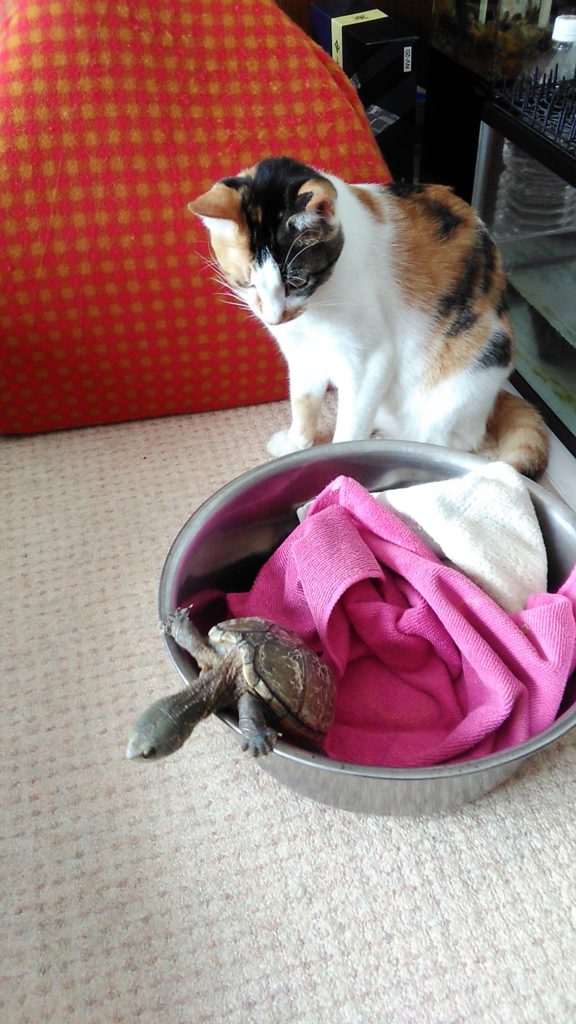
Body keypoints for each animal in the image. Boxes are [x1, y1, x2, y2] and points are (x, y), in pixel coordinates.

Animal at [188, 156, 549, 478]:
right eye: (246, 283)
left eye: (297, 282)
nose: (275, 318)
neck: (316, 308)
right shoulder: (301, 353)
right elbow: (303, 401)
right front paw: (296, 444)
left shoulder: (369, 360)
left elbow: (349, 428)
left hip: (467, 375)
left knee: (445, 440)